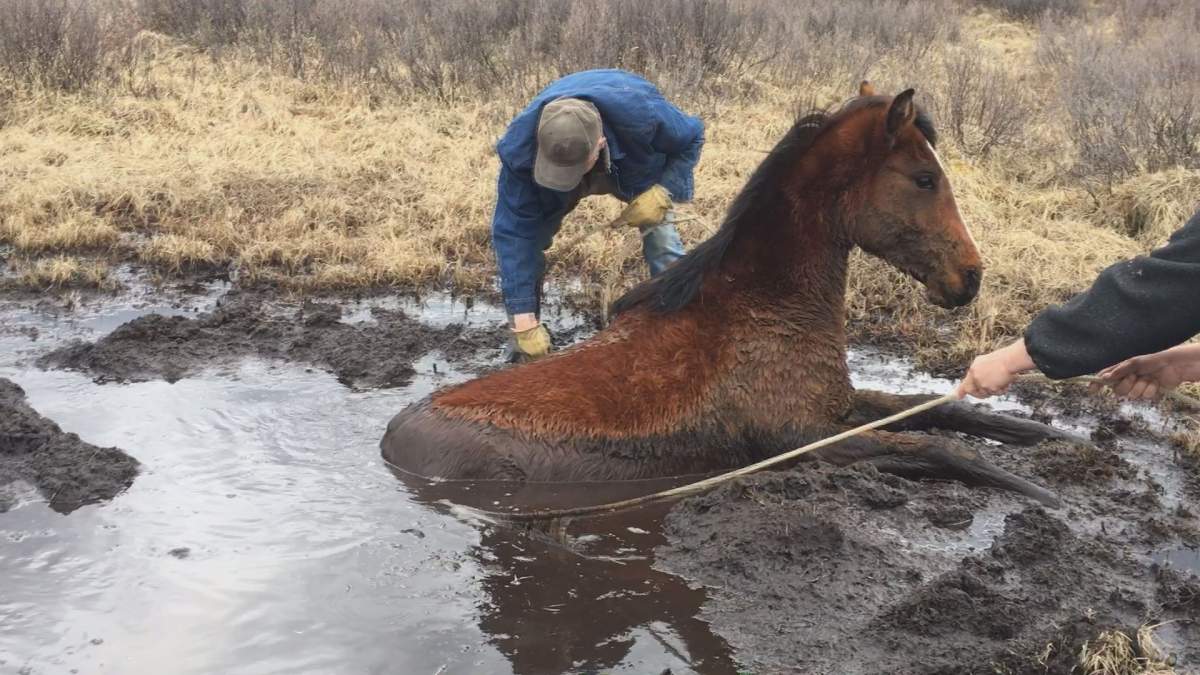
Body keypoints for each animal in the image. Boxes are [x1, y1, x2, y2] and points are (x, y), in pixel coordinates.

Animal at [381, 83, 1067, 506]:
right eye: (924, 179)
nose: (970, 277)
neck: (760, 308)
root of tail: (390, 441)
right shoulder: (804, 436)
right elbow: (940, 447)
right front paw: (1045, 494)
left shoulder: (840, 407)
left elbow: (944, 411)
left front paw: (1058, 443)